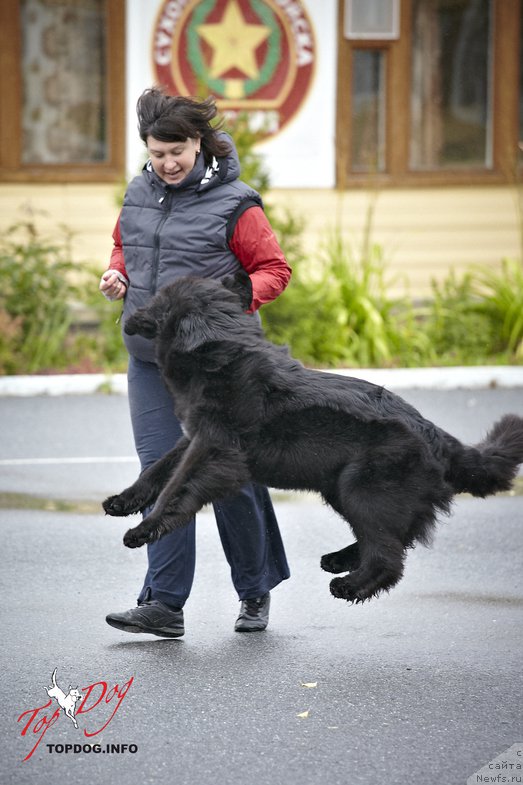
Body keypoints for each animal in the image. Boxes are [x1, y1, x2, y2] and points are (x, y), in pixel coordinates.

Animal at [103, 272, 523, 604]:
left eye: (160, 298)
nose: (129, 311)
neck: (218, 352)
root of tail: (436, 434)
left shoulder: (214, 450)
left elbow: (176, 489)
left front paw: (143, 530)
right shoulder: (195, 438)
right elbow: (158, 469)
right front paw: (125, 500)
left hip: (361, 491)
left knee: (389, 558)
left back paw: (351, 585)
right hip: (341, 489)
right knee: (392, 541)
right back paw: (341, 560)